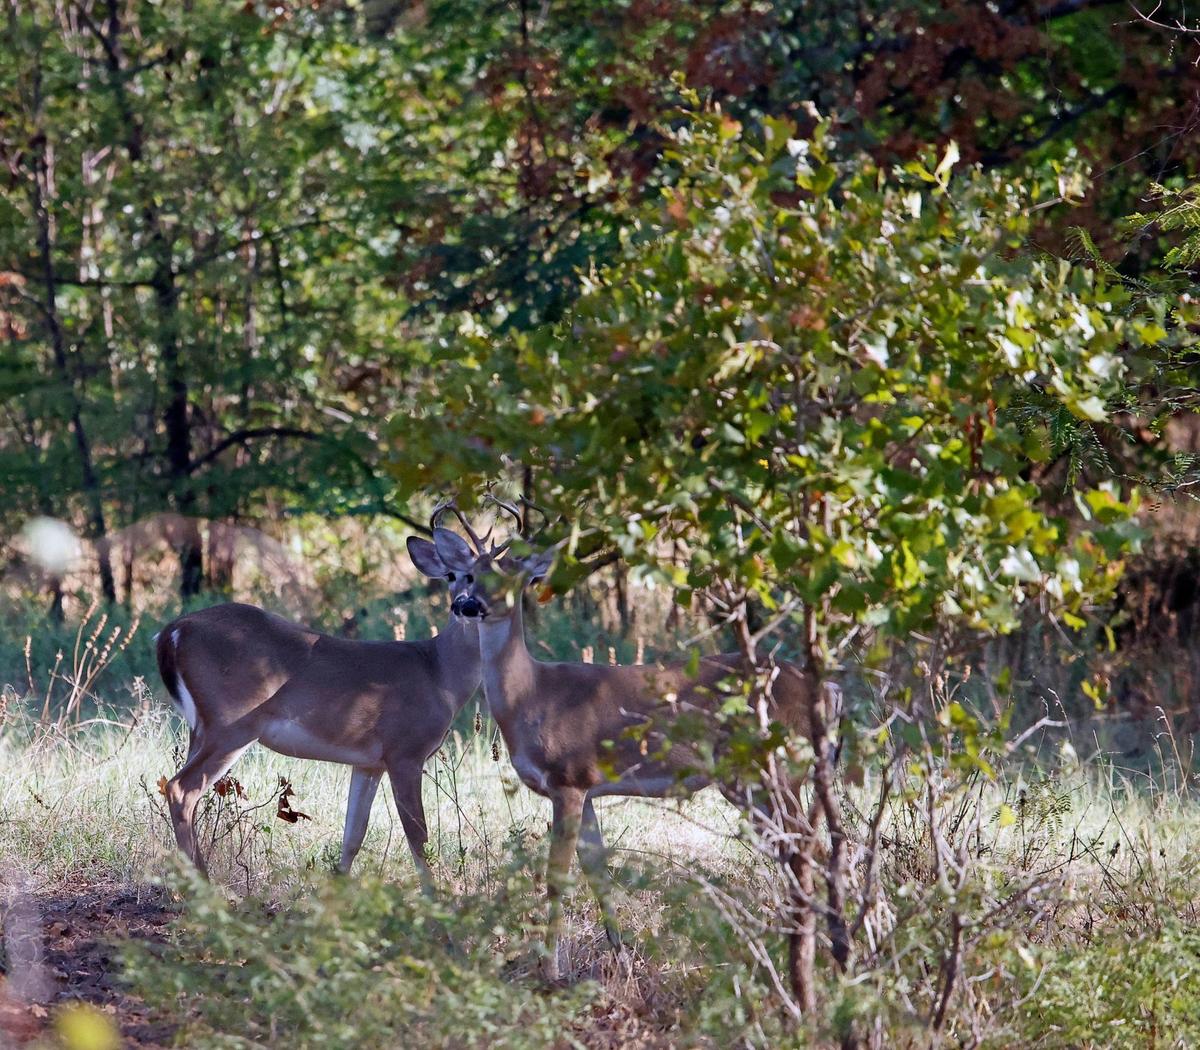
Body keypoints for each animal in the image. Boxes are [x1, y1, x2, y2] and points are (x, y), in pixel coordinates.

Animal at [156, 502, 489, 882]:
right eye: (452, 575)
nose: (465, 605)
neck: (439, 673)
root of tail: (171, 632)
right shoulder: (405, 751)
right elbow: (419, 838)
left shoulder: (369, 762)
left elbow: (353, 835)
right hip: (231, 723)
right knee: (181, 789)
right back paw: (205, 886)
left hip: (200, 727)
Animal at [409, 504, 841, 981]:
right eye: (467, 575)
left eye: (511, 577)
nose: (468, 605)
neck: (531, 696)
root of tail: (826, 690)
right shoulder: (587, 788)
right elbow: (597, 871)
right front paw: (620, 956)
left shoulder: (568, 778)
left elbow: (557, 876)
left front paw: (550, 970)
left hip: (773, 769)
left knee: (809, 848)